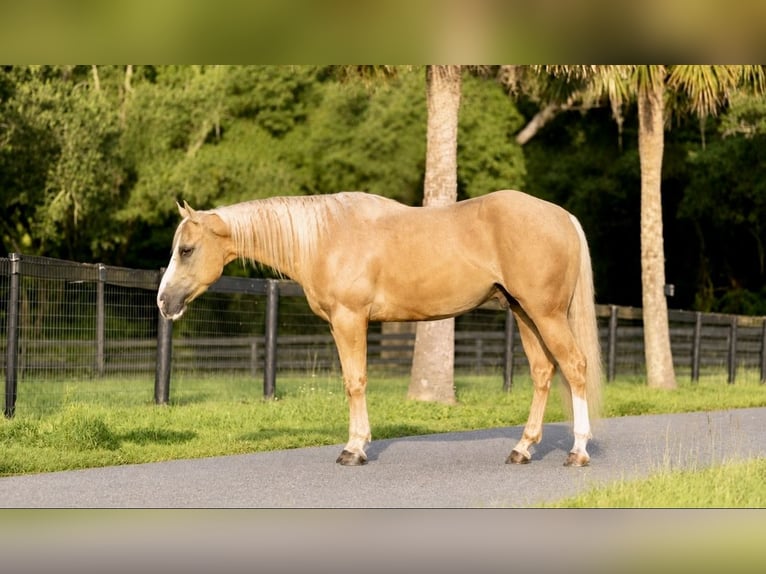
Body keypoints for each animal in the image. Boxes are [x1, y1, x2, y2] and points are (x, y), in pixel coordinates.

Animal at [157, 190, 602, 467]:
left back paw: (578, 451)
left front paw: (354, 450)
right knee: (544, 372)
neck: (326, 238)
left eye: (187, 250)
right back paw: (522, 449)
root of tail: (562, 216)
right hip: (525, 314)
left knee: (575, 367)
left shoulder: (349, 319)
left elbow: (355, 381)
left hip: (545, 314)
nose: (164, 302)